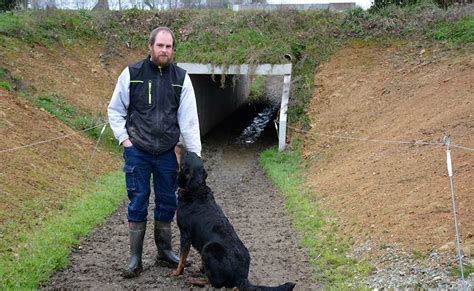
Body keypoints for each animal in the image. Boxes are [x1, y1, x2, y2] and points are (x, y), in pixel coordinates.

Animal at [172, 146, 294, 291]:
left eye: (186, 154)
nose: (179, 144)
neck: (196, 189)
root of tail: (241, 276)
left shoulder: (185, 234)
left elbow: (182, 258)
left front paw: (176, 273)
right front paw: (201, 269)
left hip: (209, 248)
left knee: (216, 283)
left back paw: (195, 280)